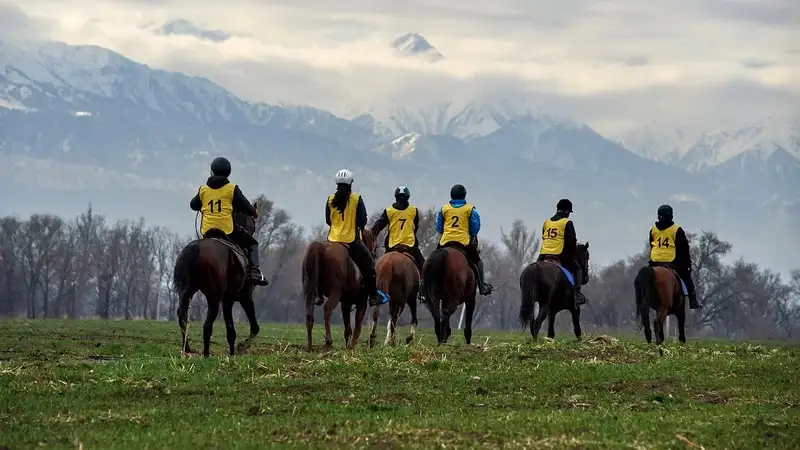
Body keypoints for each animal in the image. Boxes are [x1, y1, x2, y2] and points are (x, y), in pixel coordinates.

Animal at [173, 209, 260, 356]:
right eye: (253, 222)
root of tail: (195, 249)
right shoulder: (244, 297)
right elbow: (253, 327)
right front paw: (240, 348)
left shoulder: (228, 299)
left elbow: (231, 329)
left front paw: (233, 353)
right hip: (214, 296)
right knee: (208, 323)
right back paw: (206, 354)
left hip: (185, 292)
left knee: (182, 316)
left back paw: (187, 348)